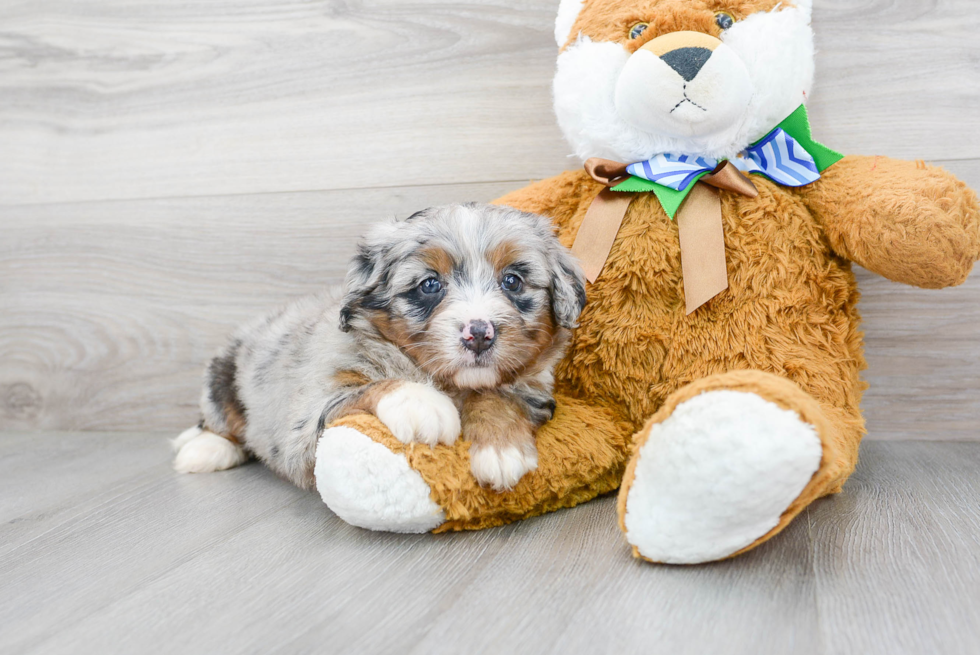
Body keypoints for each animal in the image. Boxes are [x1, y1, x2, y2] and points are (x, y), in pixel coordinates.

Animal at [175, 205, 584, 492]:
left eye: (512, 281)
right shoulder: (306, 420)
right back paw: (203, 449)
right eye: (430, 284)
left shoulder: (531, 389)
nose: (479, 334)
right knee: (220, 420)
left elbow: (496, 396)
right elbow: (370, 386)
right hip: (222, 373)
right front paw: (421, 403)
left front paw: (500, 448)